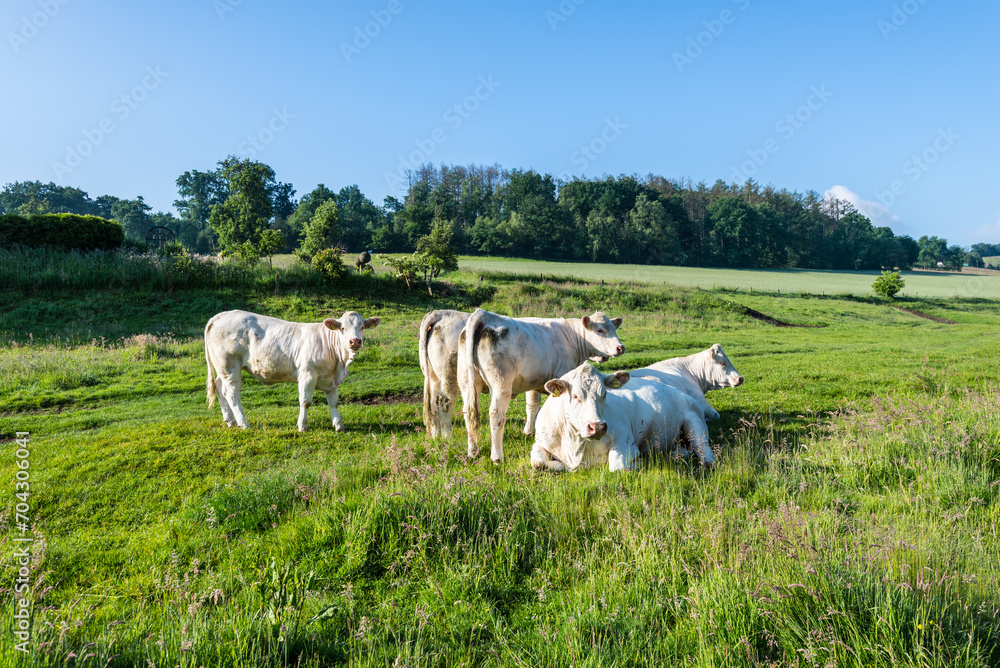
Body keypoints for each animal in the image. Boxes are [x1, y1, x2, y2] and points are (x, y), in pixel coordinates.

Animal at [204, 309, 380, 431]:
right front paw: (302, 426)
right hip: (230, 366)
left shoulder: (331, 379)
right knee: (232, 394)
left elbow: (334, 402)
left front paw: (338, 425)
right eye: (343, 328)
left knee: (220, 388)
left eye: (362, 327)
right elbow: (305, 401)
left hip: (222, 368)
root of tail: (220, 316)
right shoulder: (307, 374)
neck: (339, 363)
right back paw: (244, 423)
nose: (355, 341)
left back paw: (230, 421)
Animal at [461, 308, 626, 463]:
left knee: (469, 412)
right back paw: (497, 457)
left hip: (467, 383)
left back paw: (473, 451)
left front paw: (528, 432)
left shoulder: (534, 383)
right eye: (600, 330)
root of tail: (484, 314)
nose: (620, 347)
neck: (572, 337)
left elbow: (532, 406)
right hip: (501, 385)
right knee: (496, 415)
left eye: (614, 328)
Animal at [531, 363, 716, 472]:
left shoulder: (625, 441)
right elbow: (538, 462)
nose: (597, 427)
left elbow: (617, 466)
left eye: (605, 393)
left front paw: (640, 462)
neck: (575, 446)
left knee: (702, 446)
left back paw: (708, 462)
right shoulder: (541, 441)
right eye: (575, 396)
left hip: (694, 419)